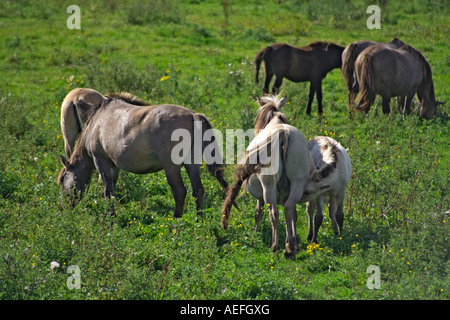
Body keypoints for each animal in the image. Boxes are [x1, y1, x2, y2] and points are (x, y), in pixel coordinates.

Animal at [57, 97, 229, 218]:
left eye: (63, 179)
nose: (64, 207)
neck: (96, 124)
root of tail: (193, 115)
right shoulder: (114, 166)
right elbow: (112, 188)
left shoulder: (102, 162)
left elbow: (108, 192)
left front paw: (110, 218)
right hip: (191, 163)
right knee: (198, 191)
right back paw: (199, 221)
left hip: (171, 167)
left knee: (180, 192)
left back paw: (176, 220)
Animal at [221, 94, 316, 256]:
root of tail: (283, 133)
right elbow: (294, 216)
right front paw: (293, 239)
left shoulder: (259, 197)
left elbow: (258, 213)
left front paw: (255, 232)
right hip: (298, 183)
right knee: (289, 208)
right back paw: (290, 246)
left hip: (268, 186)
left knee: (274, 213)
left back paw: (275, 246)